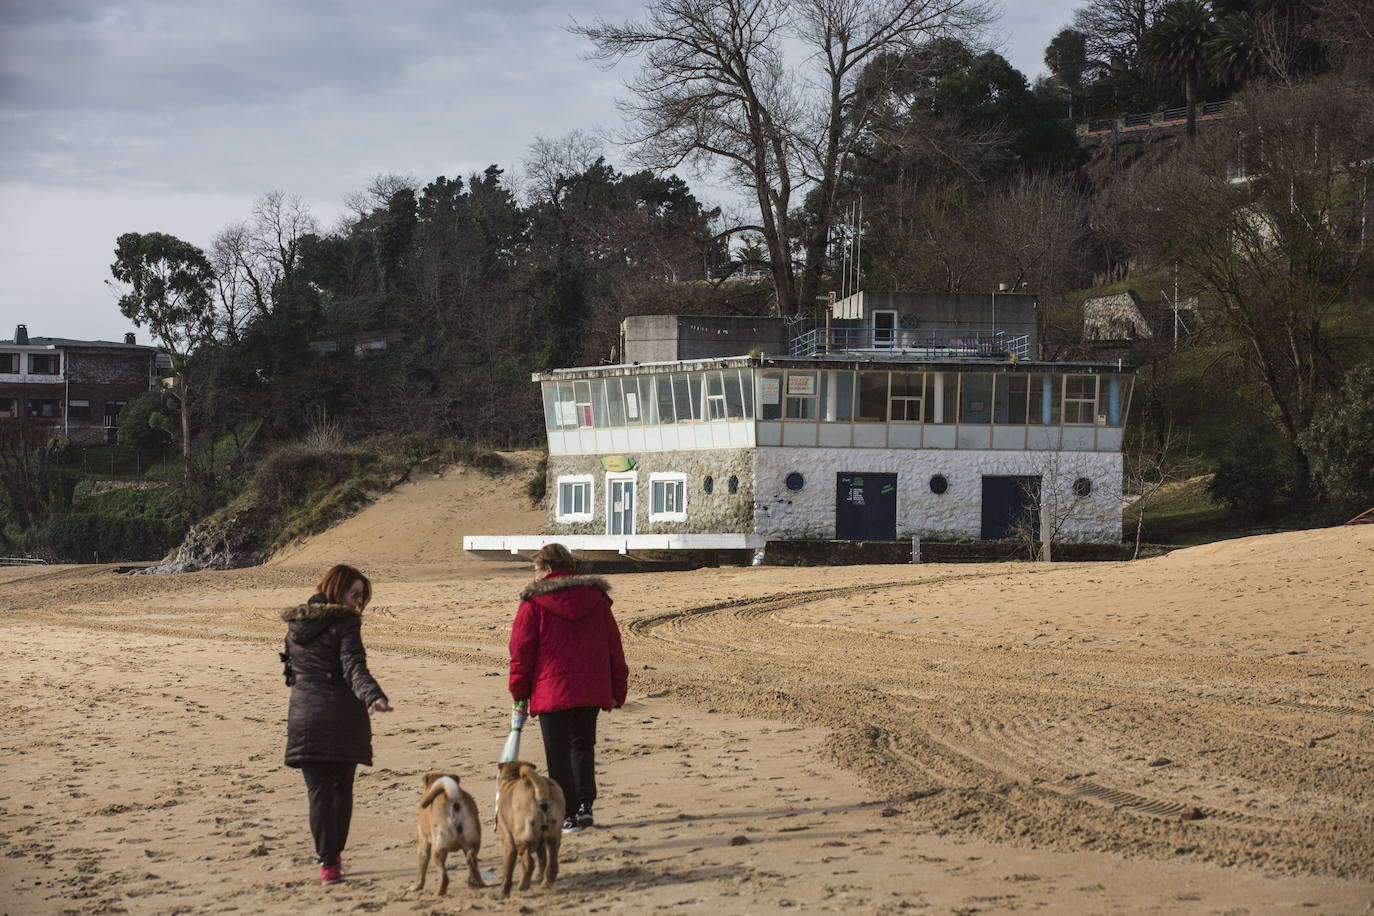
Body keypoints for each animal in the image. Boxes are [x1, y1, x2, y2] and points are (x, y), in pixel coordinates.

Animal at [497, 758, 566, 895]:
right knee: (552, 863)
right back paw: (545, 884)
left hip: (521, 839)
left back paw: (523, 885)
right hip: (553, 836)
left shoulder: (508, 842)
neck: (513, 778)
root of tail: (541, 789)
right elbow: (542, 859)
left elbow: (507, 869)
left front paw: (503, 891)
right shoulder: (541, 844)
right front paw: (539, 877)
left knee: (529, 864)